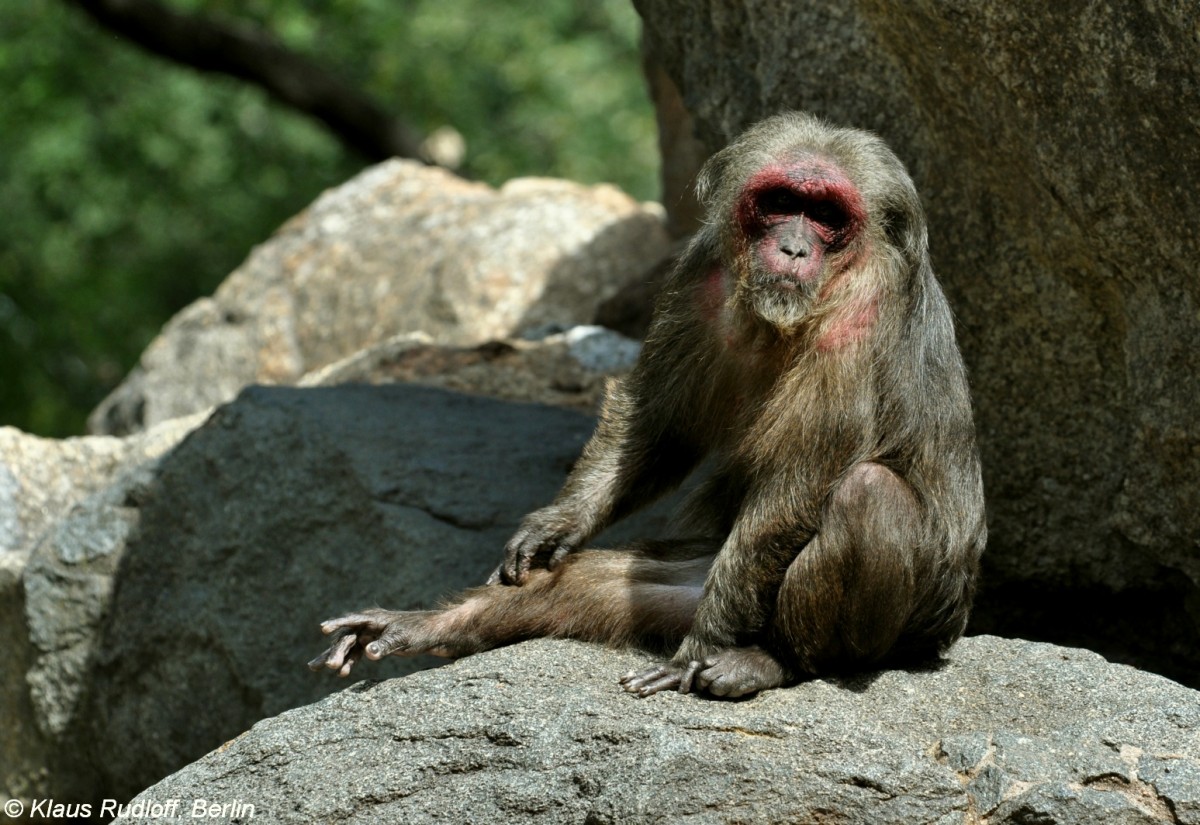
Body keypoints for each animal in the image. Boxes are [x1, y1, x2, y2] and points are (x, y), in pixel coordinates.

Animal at [307, 110, 984, 695]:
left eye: (825, 213)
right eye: (780, 202)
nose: (793, 248)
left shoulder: (859, 313)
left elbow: (801, 481)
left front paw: (704, 648)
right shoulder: (700, 271)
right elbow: (658, 423)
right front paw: (559, 522)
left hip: (917, 623)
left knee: (868, 496)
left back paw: (773, 659)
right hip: (703, 573)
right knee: (593, 582)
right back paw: (430, 624)